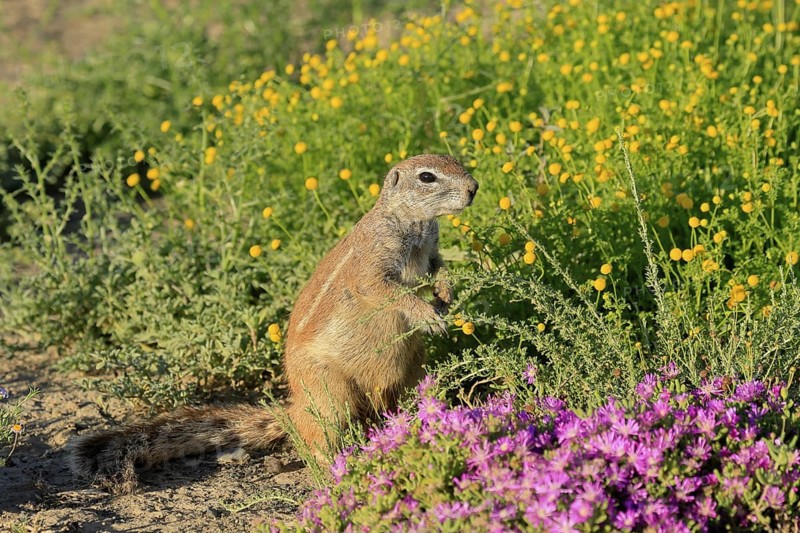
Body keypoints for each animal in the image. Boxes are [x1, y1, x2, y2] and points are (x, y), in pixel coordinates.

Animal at [69, 154, 478, 494]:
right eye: (427, 177)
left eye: (456, 160)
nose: (474, 187)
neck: (415, 224)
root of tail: (294, 407)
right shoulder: (372, 265)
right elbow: (386, 290)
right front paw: (427, 314)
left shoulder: (431, 251)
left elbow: (439, 268)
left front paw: (446, 295)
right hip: (331, 393)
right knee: (316, 439)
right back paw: (338, 468)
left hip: (413, 371)